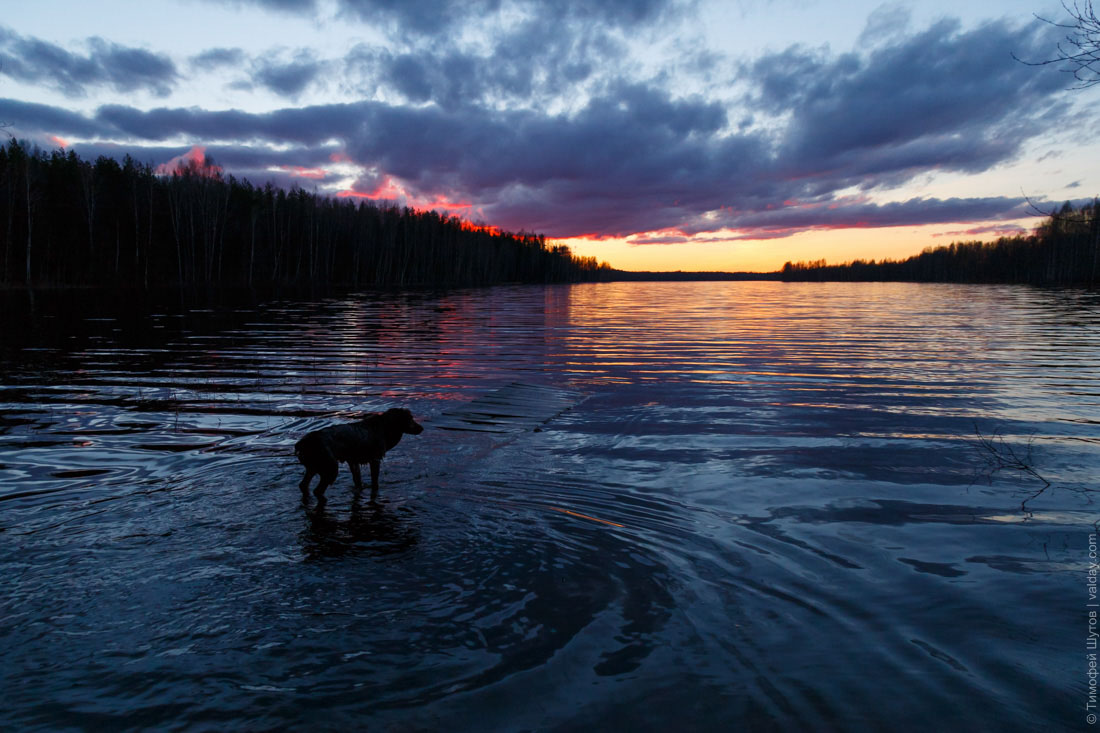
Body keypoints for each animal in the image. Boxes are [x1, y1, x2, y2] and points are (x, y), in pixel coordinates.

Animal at [294, 405, 422, 501]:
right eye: (410, 418)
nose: (422, 428)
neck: (384, 428)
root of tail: (302, 443)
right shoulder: (375, 459)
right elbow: (374, 482)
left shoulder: (353, 461)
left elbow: (358, 482)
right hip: (330, 468)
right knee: (317, 490)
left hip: (313, 467)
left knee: (303, 485)